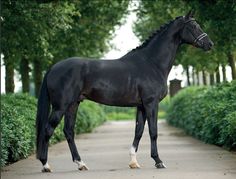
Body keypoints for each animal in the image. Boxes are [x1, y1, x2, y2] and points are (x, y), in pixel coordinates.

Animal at [36, 11, 213, 172]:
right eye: (194, 26)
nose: (210, 44)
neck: (151, 63)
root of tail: (53, 68)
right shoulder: (151, 103)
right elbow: (153, 132)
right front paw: (158, 161)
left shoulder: (141, 106)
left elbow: (138, 132)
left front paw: (134, 162)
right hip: (60, 107)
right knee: (48, 130)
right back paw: (46, 165)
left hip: (73, 105)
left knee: (68, 131)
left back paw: (81, 164)